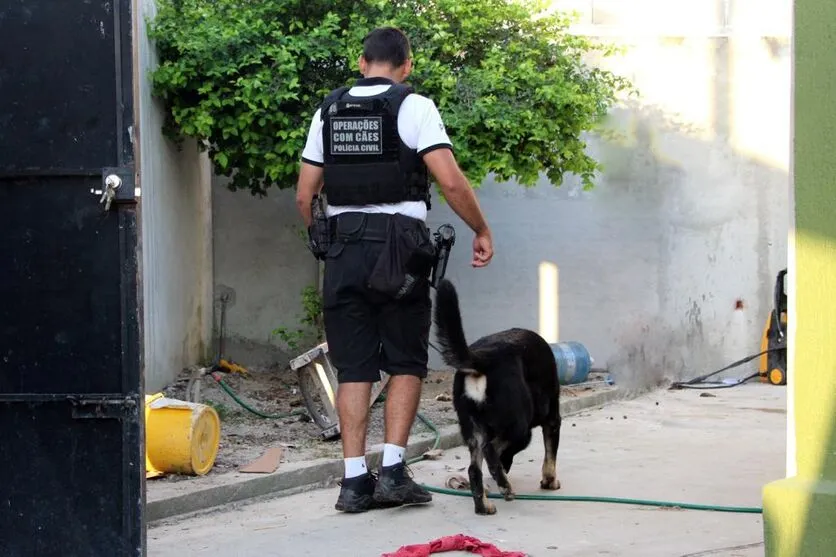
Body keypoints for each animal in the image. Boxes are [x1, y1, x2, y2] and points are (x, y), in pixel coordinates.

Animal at [432, 276, 560, 512]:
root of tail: (482, 357)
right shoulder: (552, 421)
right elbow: (550, 456)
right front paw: (549, 481)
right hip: (519, 428)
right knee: (491, 450)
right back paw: (504, 486)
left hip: (473, 428)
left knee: (474, 469)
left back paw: (484, 505)